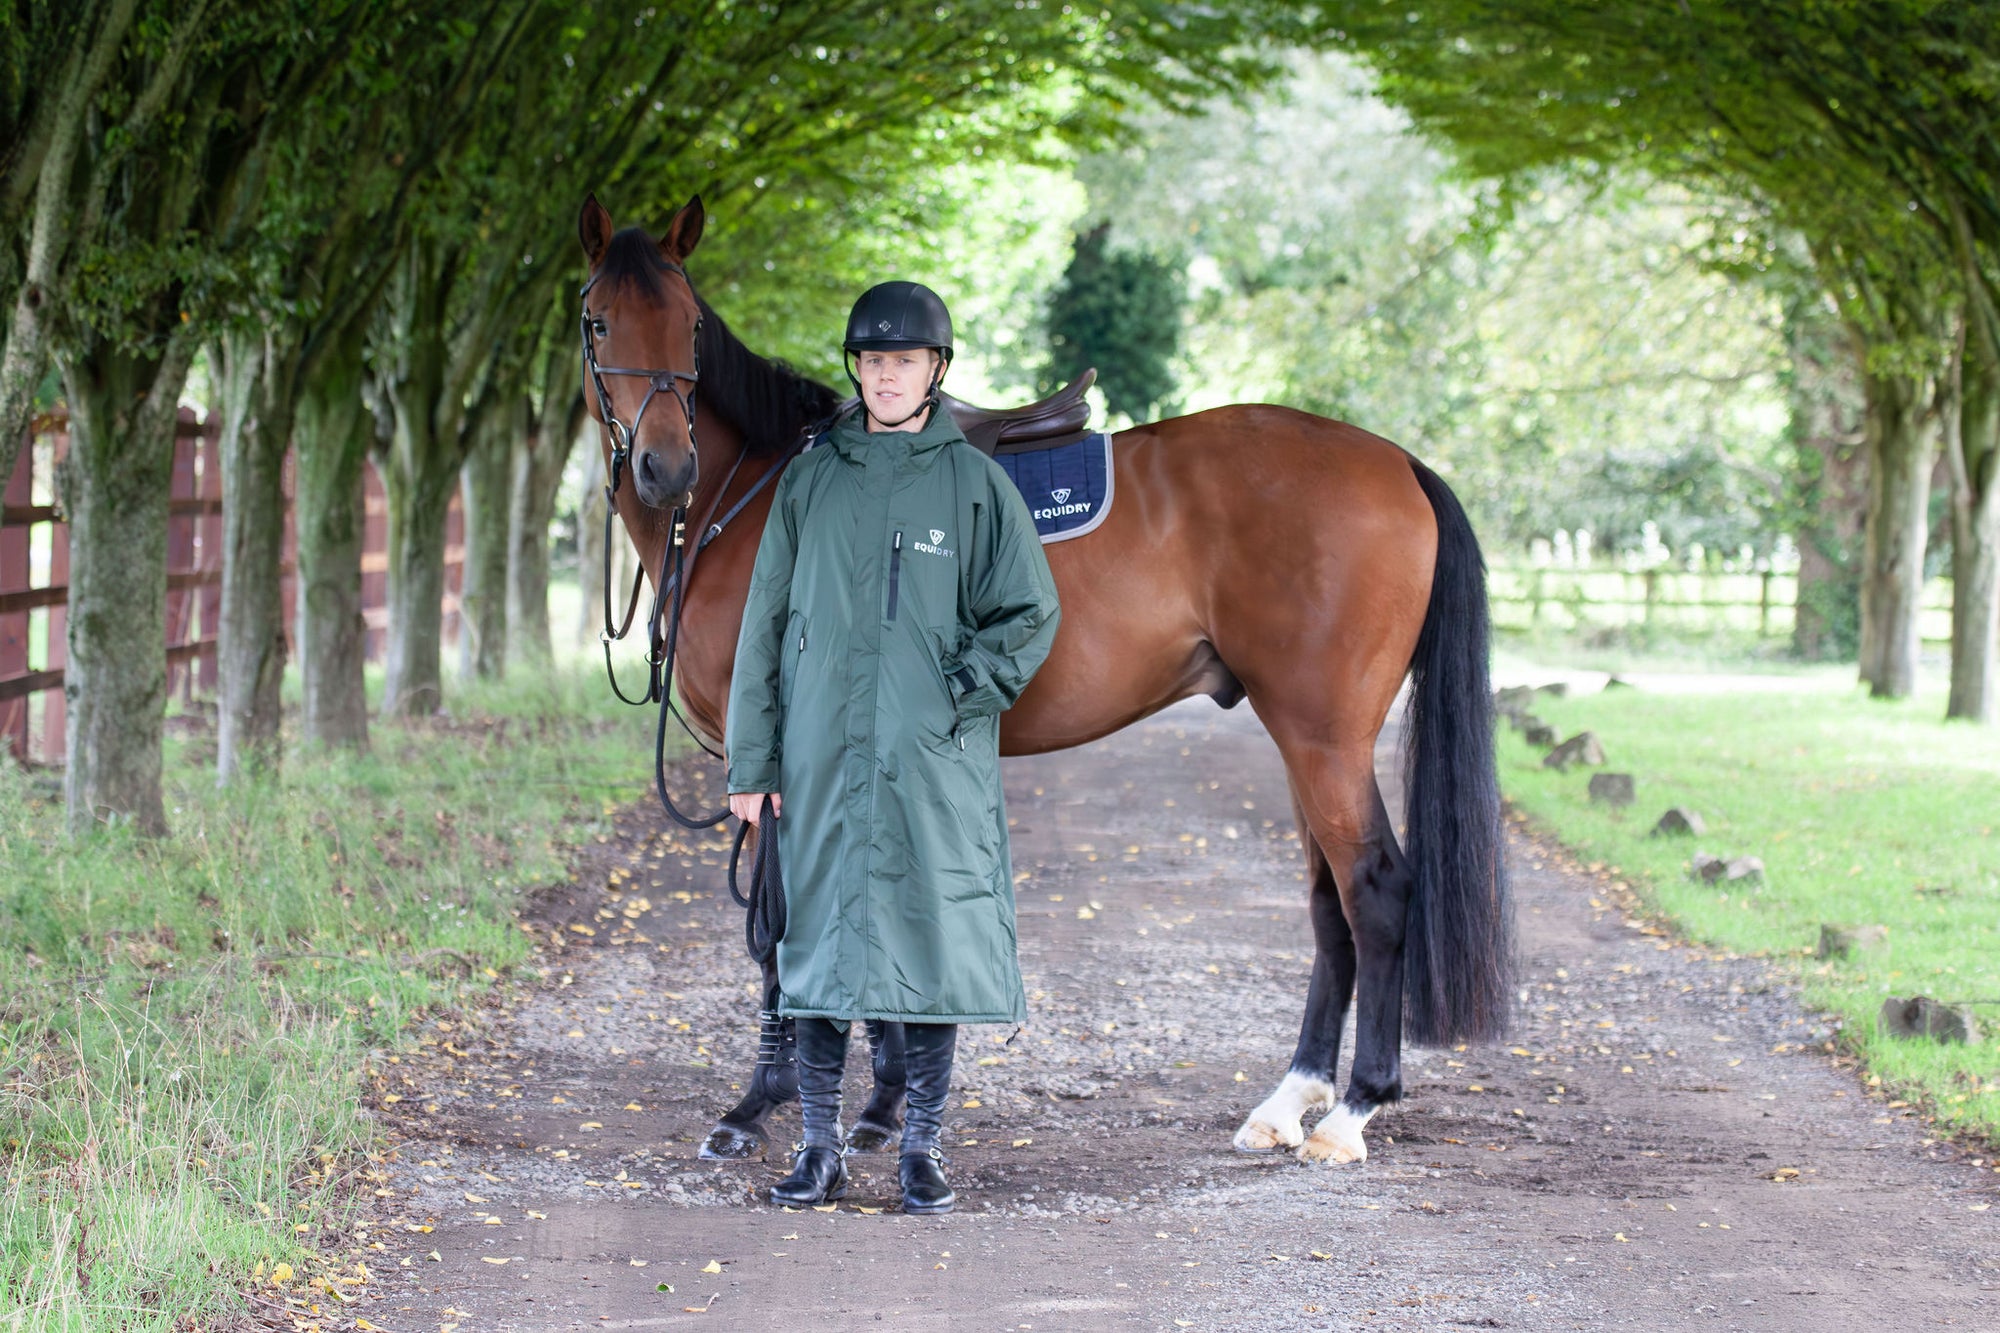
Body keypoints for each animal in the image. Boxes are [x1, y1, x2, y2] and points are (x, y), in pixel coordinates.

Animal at [572, 195, 1504, 1160]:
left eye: (689, 324)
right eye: (599, 318)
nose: (667, 467)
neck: (750, 492)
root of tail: (1395, 461)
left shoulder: (772, 757)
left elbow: (774, 935)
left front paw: (761, 1101)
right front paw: (881, 1101)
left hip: (1323, 736)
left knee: (1376, 892)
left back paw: (1356, 1107)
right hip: (1303, 739)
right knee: (1330, 906)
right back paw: (1291, 1099)